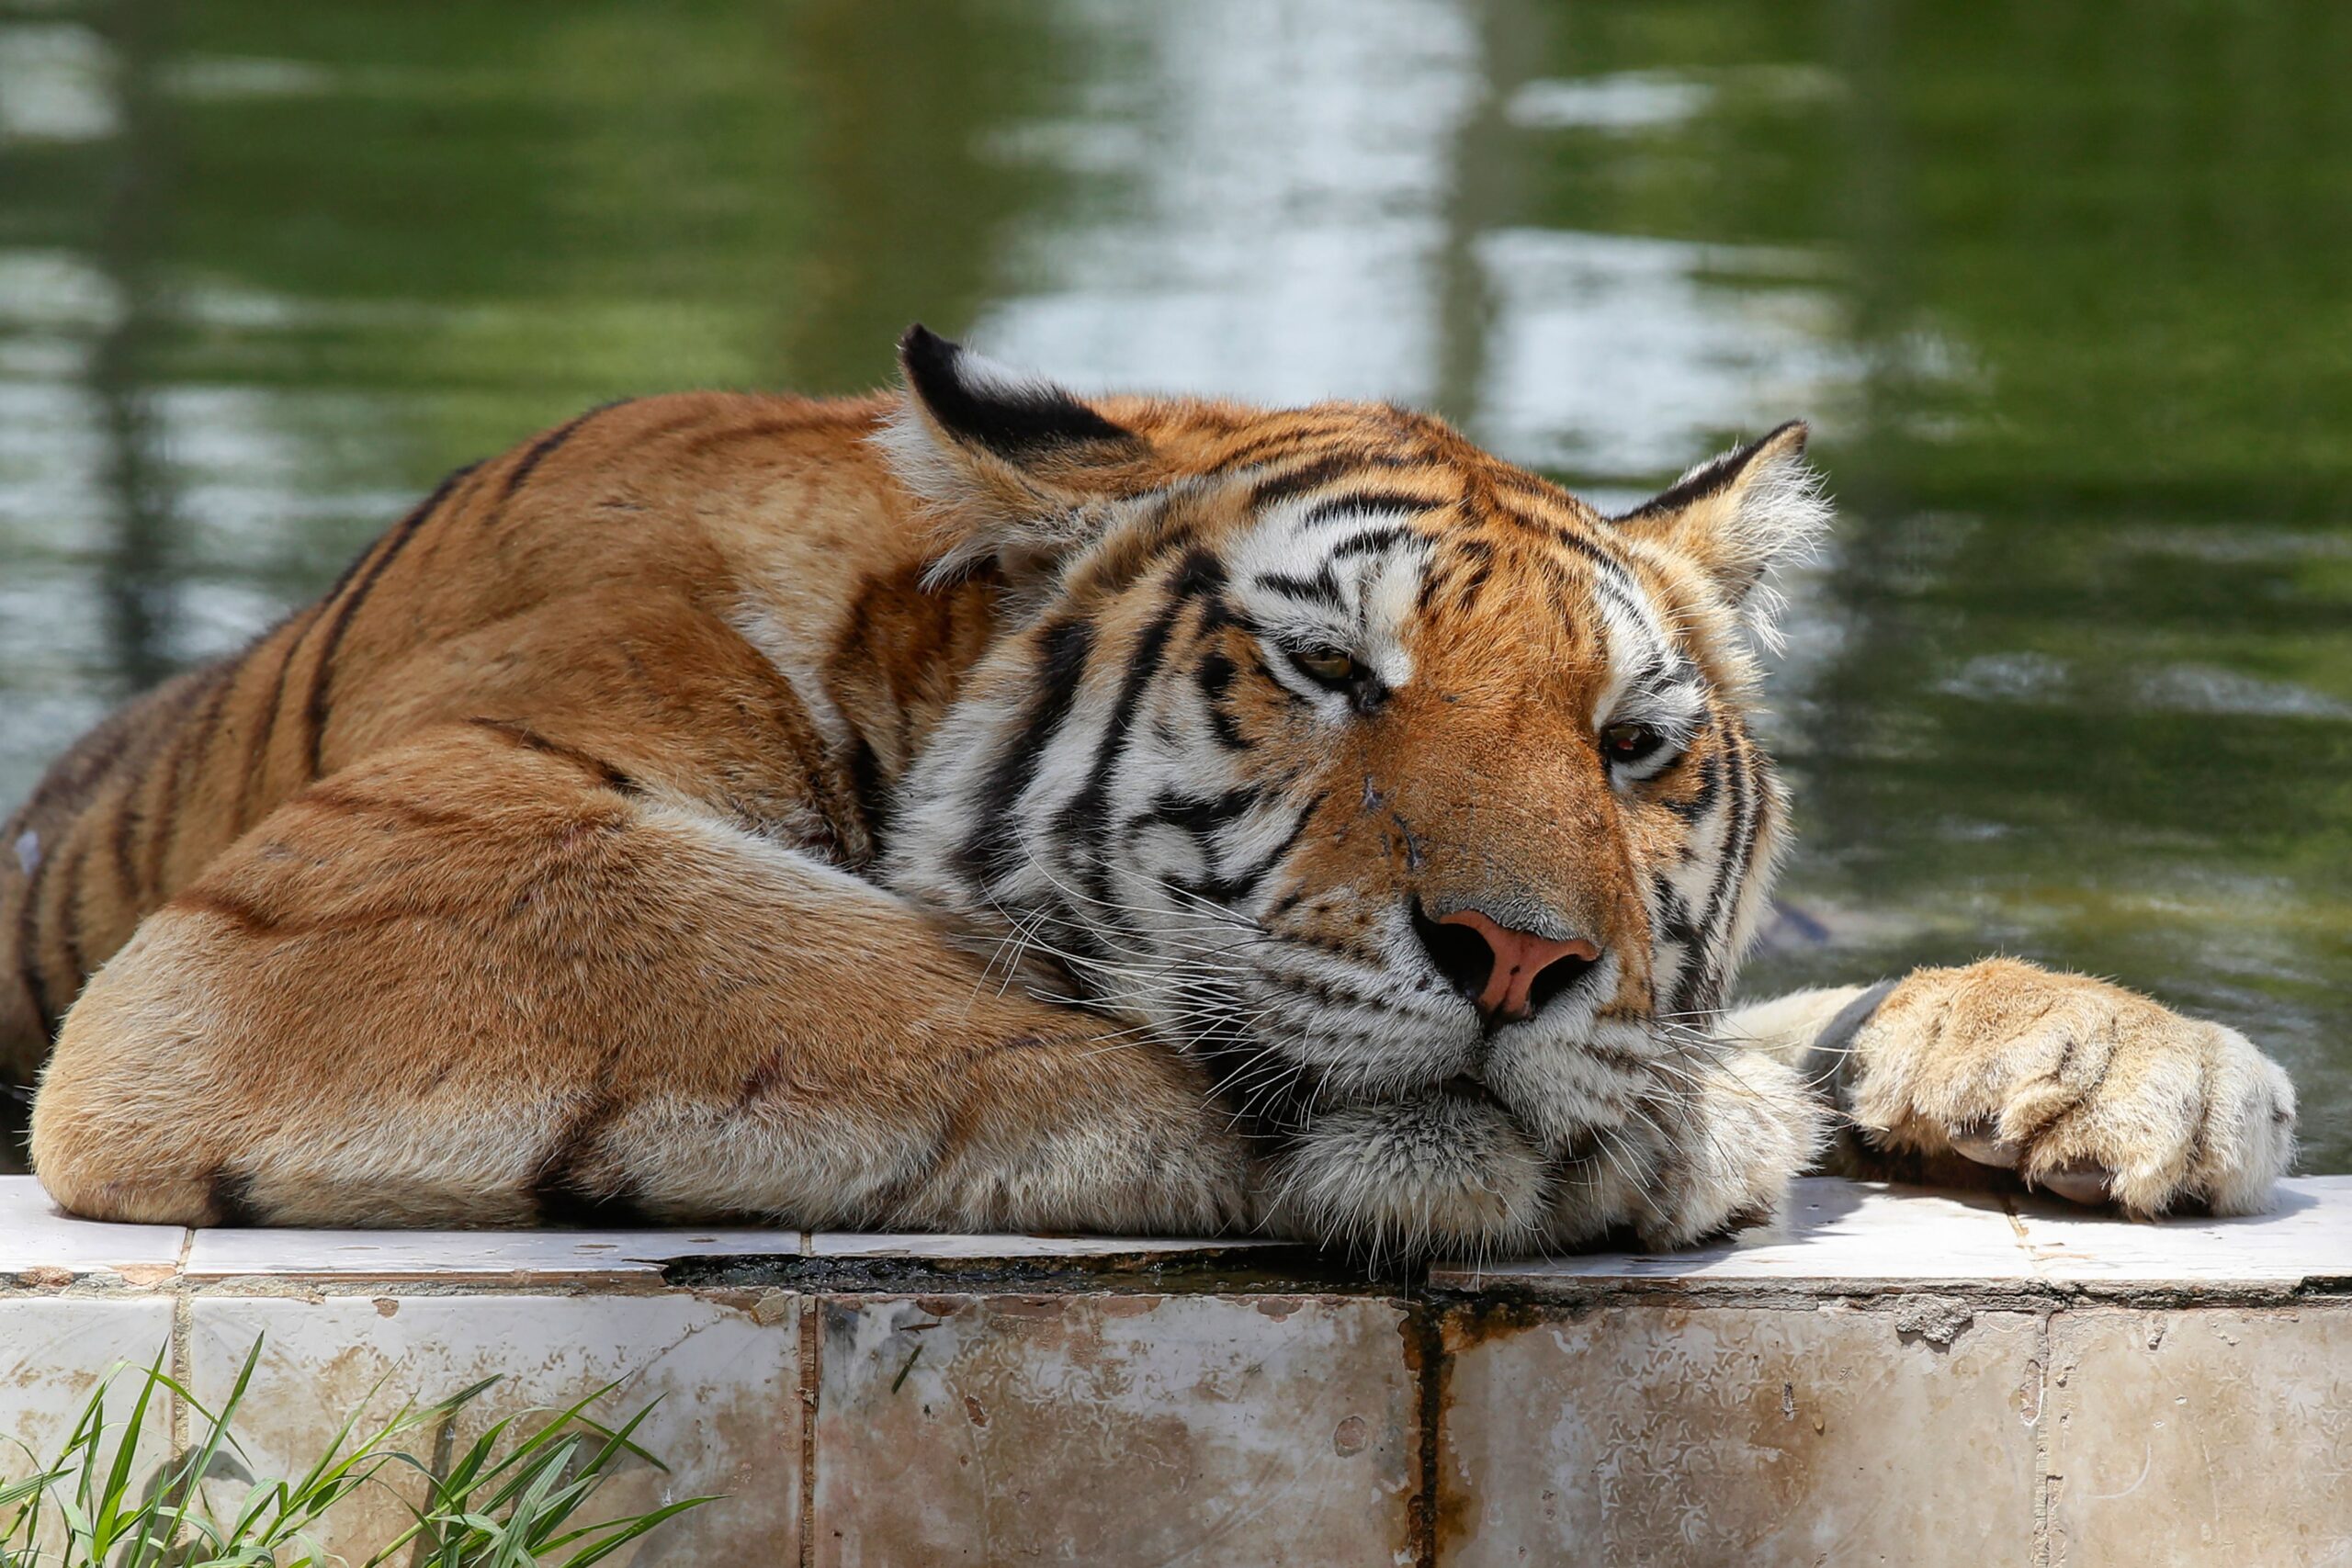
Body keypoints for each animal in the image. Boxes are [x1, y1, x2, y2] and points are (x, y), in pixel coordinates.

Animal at [0, 324, 2295, 1259]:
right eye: (1326, 671)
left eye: (1628, 748)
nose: (1520, 957)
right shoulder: (386, 883)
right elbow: (895, 1001)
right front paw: (1666, 1136)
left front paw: (2131, 1060)